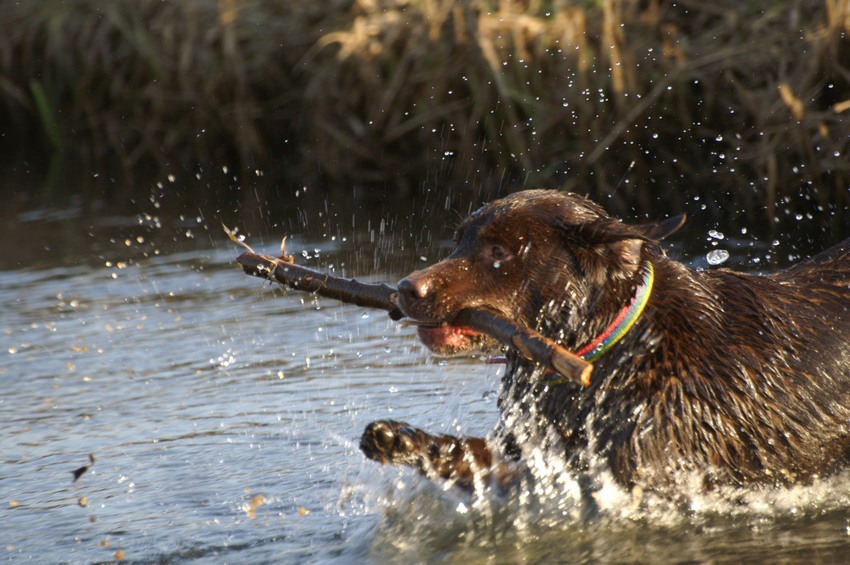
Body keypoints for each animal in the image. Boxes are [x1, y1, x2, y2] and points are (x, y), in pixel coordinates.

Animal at [358, 188, 848, 490]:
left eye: (498, 253)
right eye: (459, 242)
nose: (406, 288)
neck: (616, 351)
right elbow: (475, 456)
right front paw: (403, 440)